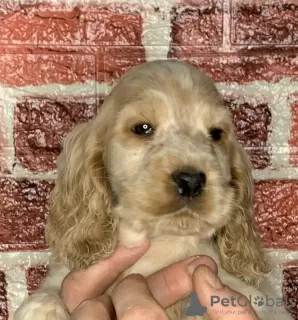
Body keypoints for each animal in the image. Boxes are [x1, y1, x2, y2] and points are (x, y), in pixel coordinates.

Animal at [13, 60, 288, 320]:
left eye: (216, 133)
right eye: (142, 128)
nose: (191, 180)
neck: (162, 243)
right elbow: (52, 289)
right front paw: (43, 307)